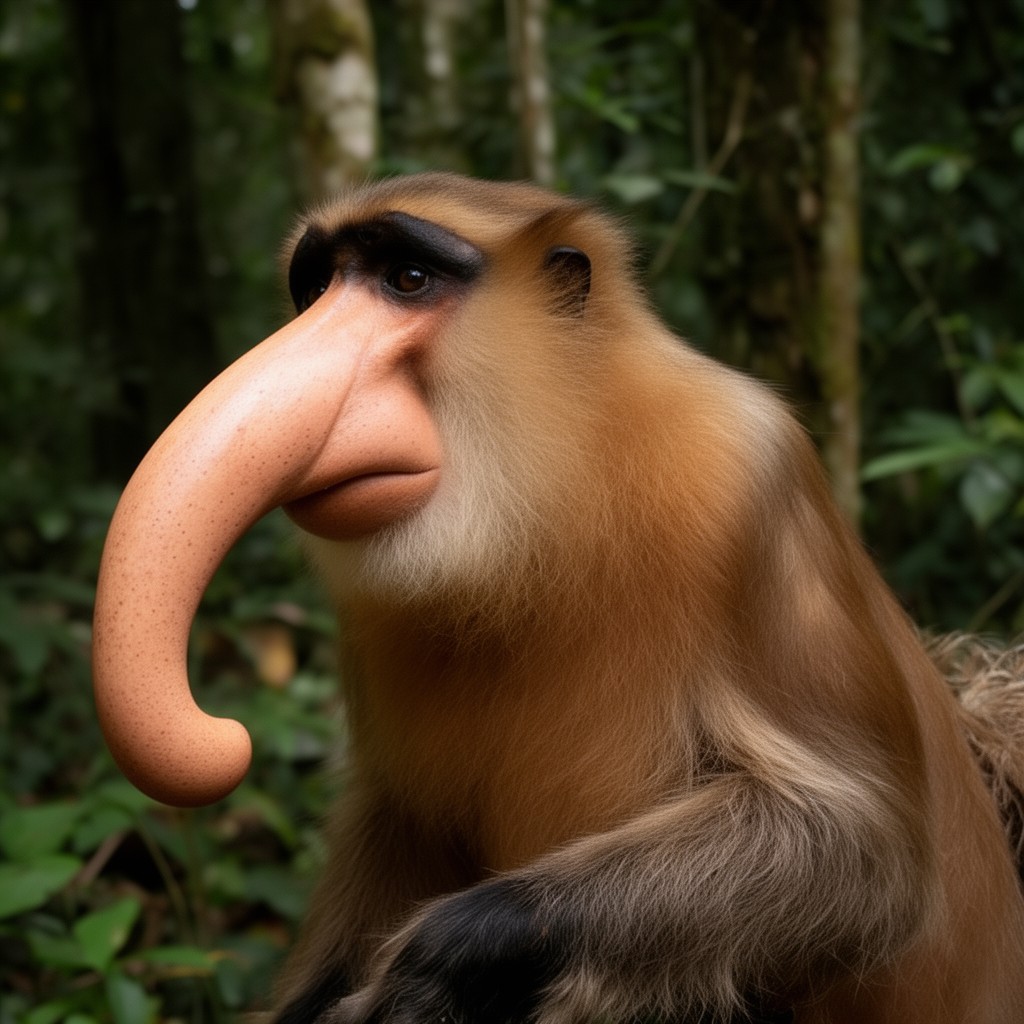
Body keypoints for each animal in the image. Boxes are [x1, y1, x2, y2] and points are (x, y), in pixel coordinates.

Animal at [91, 173, 1024, 1023]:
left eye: (407, 279)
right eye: (319, 289)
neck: (560, 491)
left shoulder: (748, 476)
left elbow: (864, 853)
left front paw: (450, 958)